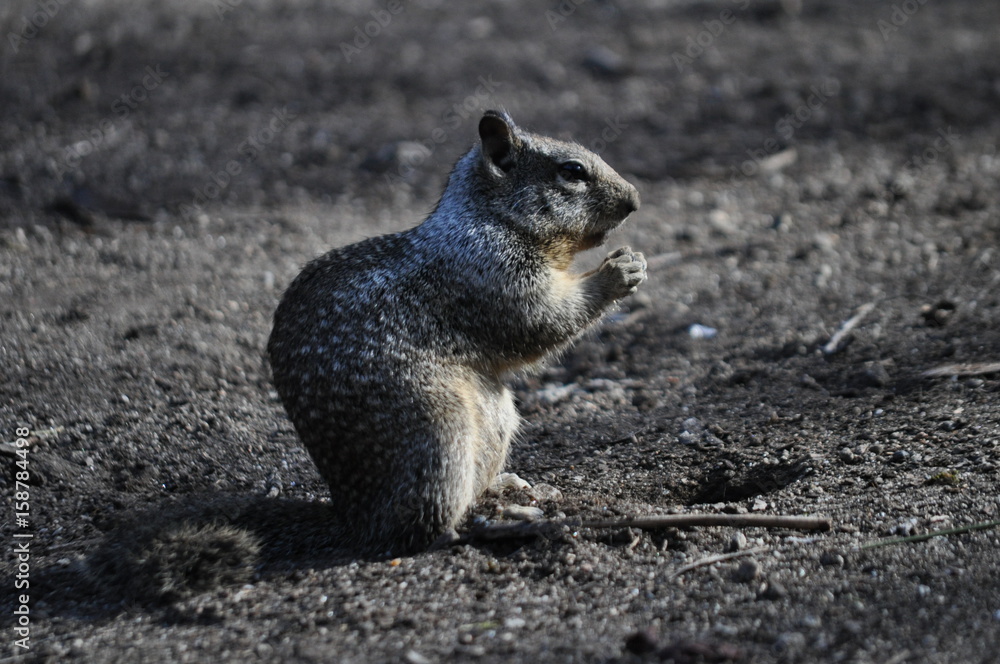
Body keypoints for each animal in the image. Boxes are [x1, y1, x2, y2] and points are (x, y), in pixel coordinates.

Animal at [267, 110, 646, 554]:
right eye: (572, 171)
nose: (635, 200)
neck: (489, 218)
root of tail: (354, 521)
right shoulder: (493, 272)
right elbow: (540, 320)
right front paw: (618, 271)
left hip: (495, 420)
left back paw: (507, 490)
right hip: (438, 433)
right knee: (423, 529)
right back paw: (495, 525)